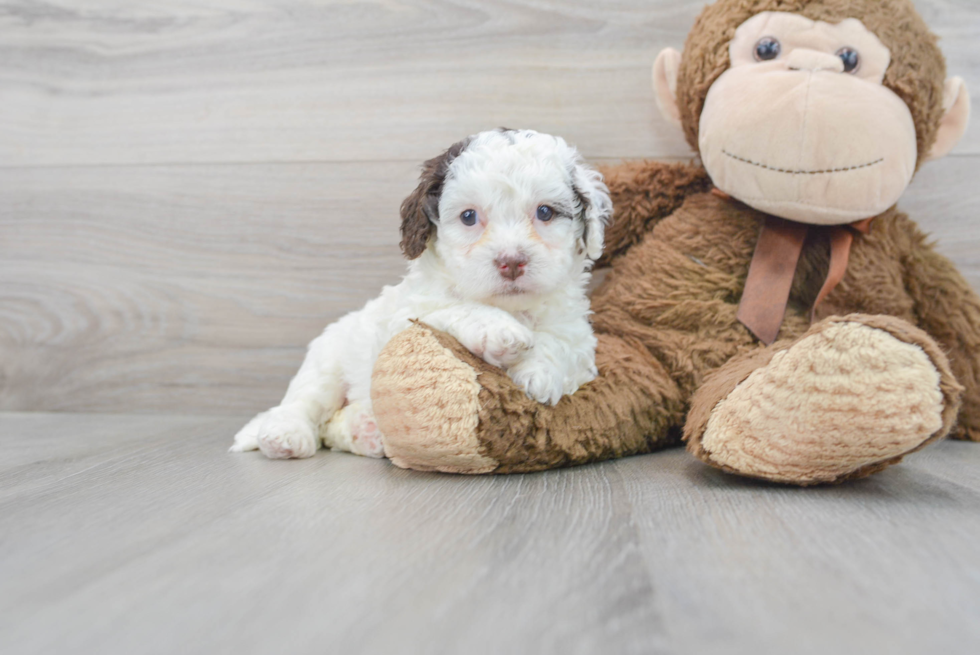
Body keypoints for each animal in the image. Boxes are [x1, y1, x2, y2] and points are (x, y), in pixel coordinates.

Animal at [232, 129, 612, 462]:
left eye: (545, 212)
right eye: (469, 216)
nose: (512, 262)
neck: (509, 306)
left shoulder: (578, 336)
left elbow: (559, 343)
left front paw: (539, 374)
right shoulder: (406, 319)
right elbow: (452, 308)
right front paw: (498, 330)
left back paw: (366, 430)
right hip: (327, 363)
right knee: (304, 404)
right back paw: (286, 435)